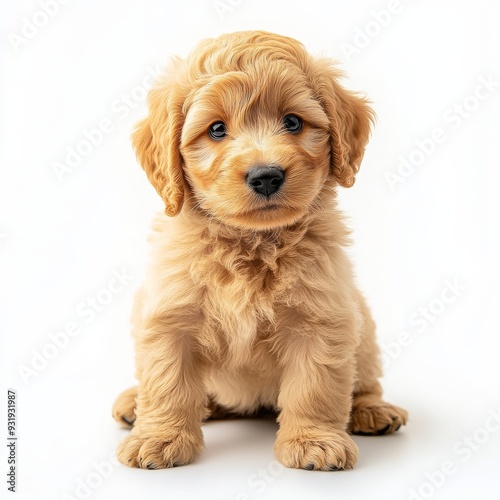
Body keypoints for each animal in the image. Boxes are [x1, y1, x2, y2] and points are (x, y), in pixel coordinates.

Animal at [112, 30, 406, 468]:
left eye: (293, 122)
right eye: (217, 129)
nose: (266, 175)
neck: (251, 243)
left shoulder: (322, 319)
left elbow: (315, 387)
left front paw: (313, 440)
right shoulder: (168, 316)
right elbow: (167, 382)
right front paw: (159, 438)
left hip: (363, 326)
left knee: (365, 381)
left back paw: (373, 410)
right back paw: (135, 404)